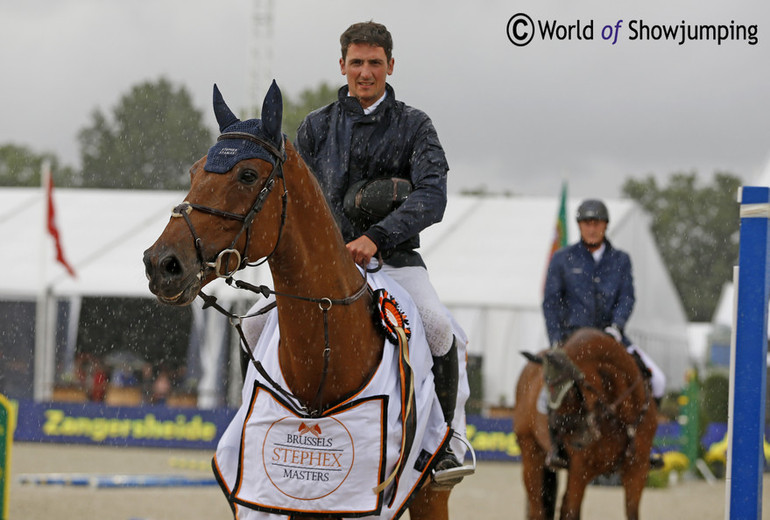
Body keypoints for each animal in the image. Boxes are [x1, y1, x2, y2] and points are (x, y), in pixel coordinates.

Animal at [510, 330, 656, 520]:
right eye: (547, 394)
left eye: (573, 391)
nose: (577, 442)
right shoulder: (580, 470)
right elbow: (570, 512)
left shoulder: (638, 469)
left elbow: (632, 512)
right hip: (531, 452)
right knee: (538, 509)